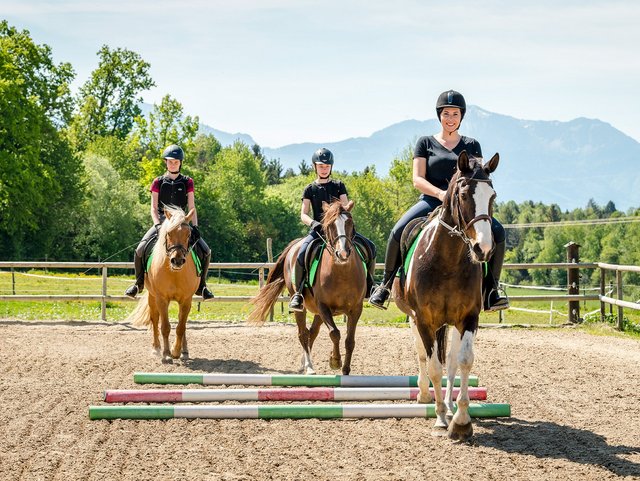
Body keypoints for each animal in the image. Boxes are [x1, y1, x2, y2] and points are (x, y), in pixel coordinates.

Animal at [127, 204, 200, 362]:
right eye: (169, 233)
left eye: (188, 235)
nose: (177, 260)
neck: (174, 273)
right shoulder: (161, 299)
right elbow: (165, 326)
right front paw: (166, 354)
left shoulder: (186, 300)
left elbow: (181, 327)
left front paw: (176, 351)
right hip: (152, 296)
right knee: (155, 319)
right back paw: (156, 348)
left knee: (182, 322)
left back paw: (184, 351)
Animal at [251, 199, 370, 376]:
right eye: (329, 225)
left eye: (350, 223)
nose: (342, 254)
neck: (342, 273)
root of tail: (295, 244)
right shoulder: (323, 306)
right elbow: (334, 333)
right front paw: (335, 361)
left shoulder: (356, 309)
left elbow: (349, 340)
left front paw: (346, 370)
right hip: (302, 306)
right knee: (303, 333)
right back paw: (309, 367)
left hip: (319, 313)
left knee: (312, 333)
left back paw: (304, 363)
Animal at [396, 150, 500, 438]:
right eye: (463, 195)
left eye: (493, 196)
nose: (483, 249)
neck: (447, 261)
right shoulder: (423, 319)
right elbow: (433, 365)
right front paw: (440, 418)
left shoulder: (469, 318)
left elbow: (462, 362)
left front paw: (461, 420)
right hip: (414, 319)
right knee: (423, 355)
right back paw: (424, 396)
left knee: (451, 362)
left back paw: (451, 406)